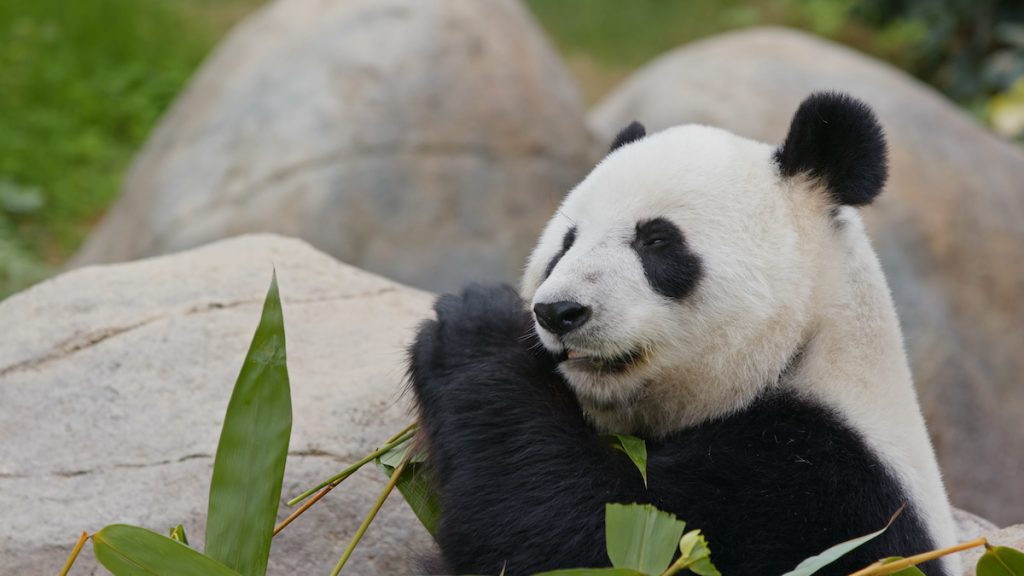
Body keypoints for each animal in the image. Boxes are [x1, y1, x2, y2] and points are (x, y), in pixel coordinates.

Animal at [407, 91, 958, 573]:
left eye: (656, 240)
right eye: (566, 243)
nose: (558, 312)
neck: (804, 349)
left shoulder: (821, 495)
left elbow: (601, 532)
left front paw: (474, 323)